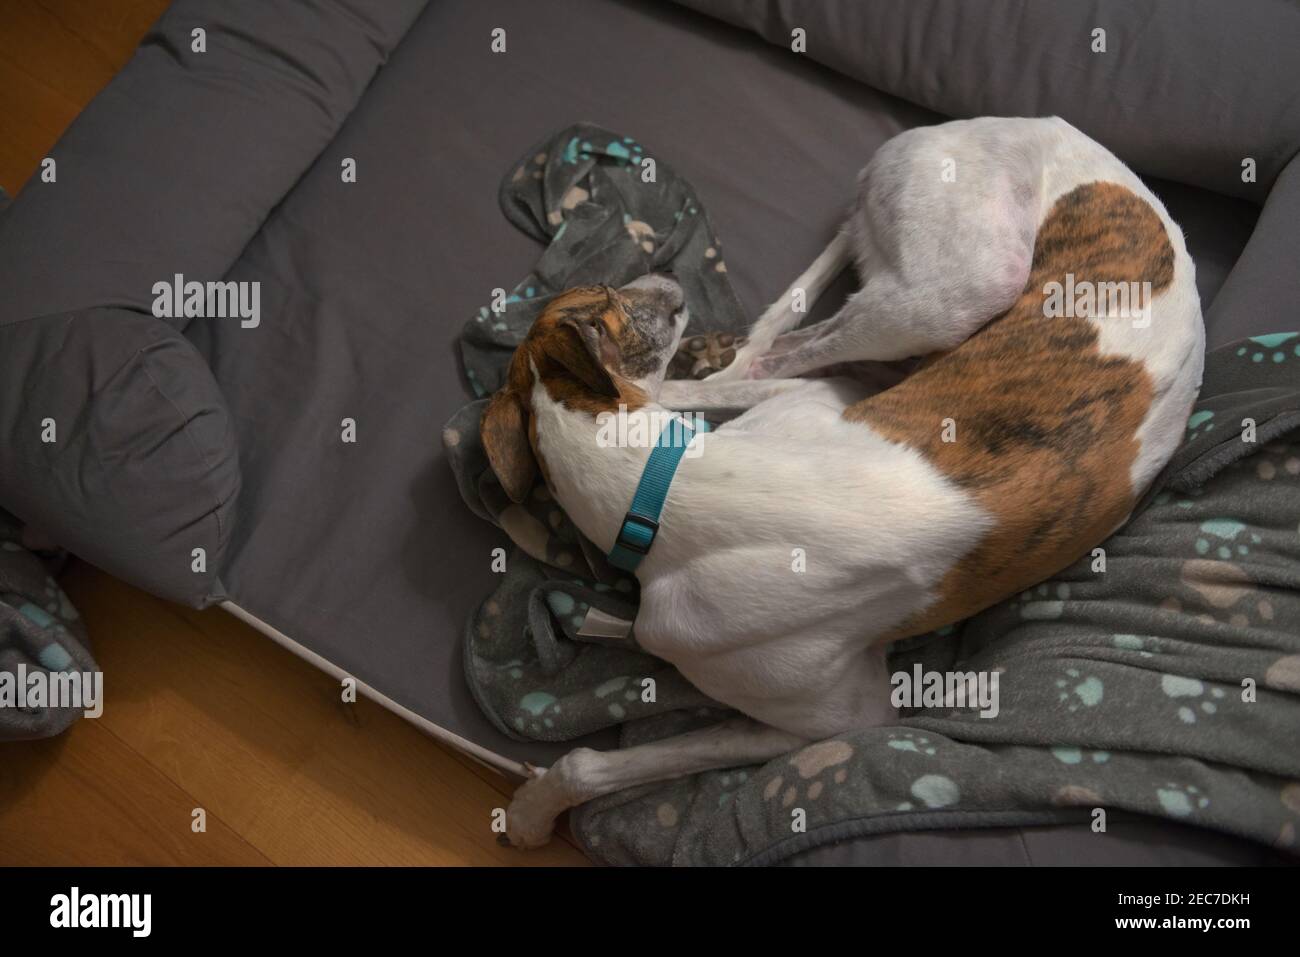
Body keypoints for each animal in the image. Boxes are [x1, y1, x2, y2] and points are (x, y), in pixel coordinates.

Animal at [483, 117, 1201, 842]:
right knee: (772, 356)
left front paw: (534, 807)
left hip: (962, 289)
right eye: (604, 295)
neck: (663, 486)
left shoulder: (843, 715)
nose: (667, 277)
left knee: (774, 356)